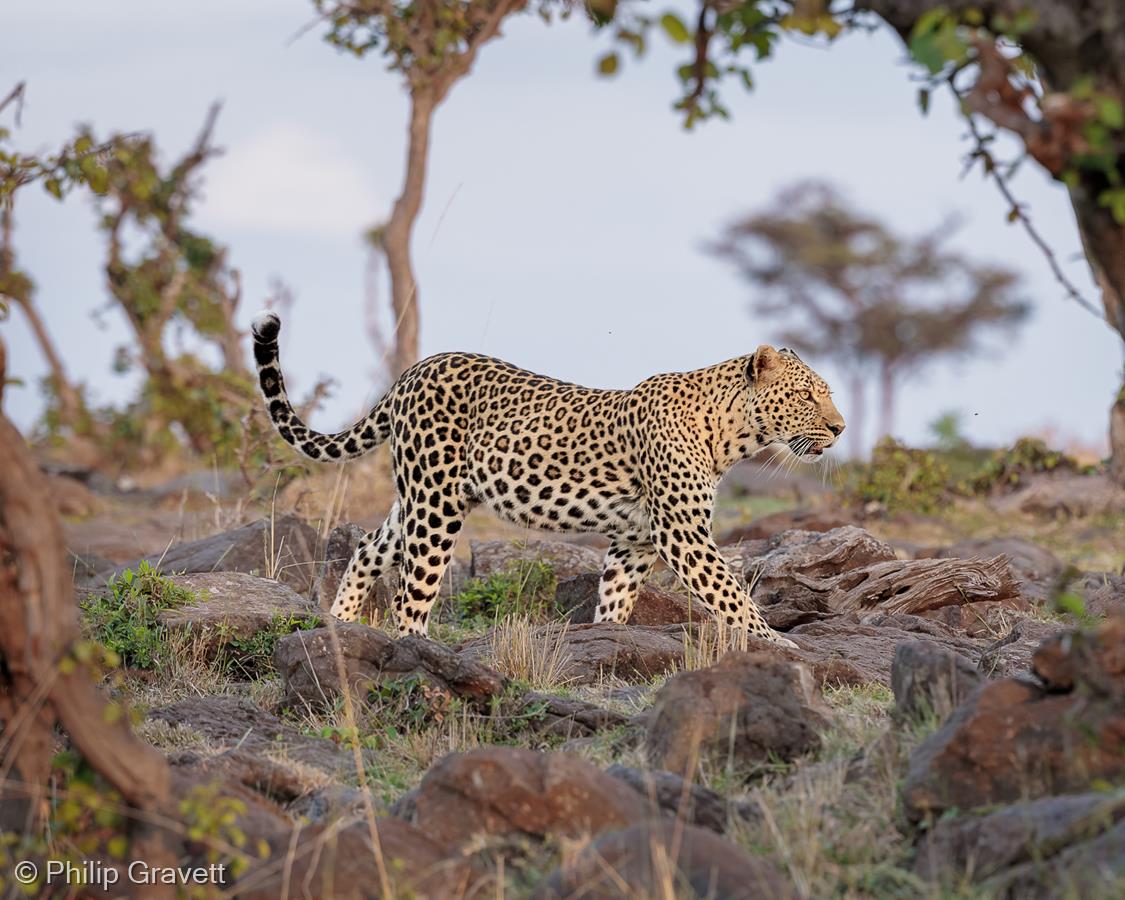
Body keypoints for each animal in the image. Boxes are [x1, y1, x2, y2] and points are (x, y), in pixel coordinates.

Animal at [248, 310, 846, 648]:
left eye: (828, 393)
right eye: (805, 395)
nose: (840, 428)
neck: (731, 434)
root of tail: (411, 372)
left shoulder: (635, 541)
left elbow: (616, 598)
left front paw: (607, 640)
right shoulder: (683, 535)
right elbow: (731, 595)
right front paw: (782, 647)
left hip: (420, 496)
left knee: (371, 546)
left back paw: (338, 626)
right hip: (437, 503)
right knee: (411, 591)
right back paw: (414, 651)